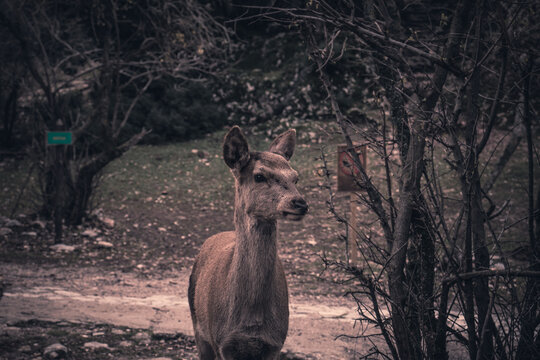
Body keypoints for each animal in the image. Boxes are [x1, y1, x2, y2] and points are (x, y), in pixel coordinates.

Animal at [189, 125, 308, 358]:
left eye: (296, 177)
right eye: (259, 176)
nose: (300, 203)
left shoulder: (275, 343)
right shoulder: (222, 343)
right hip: (198, 326)